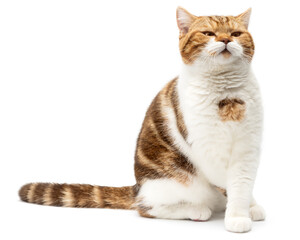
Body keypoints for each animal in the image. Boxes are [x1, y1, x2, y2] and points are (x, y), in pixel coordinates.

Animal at [19, 7, 266, 232]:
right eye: (208, 33)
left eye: (235, 33)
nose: (225, 39)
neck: (227, 95)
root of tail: (138, 186)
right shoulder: (208, 151)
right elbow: (232, 184)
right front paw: (237, 217)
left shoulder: (248, 148)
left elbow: (243, 182)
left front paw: (248, 207)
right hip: (173, 183)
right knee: (145, 207)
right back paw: (194, 210)